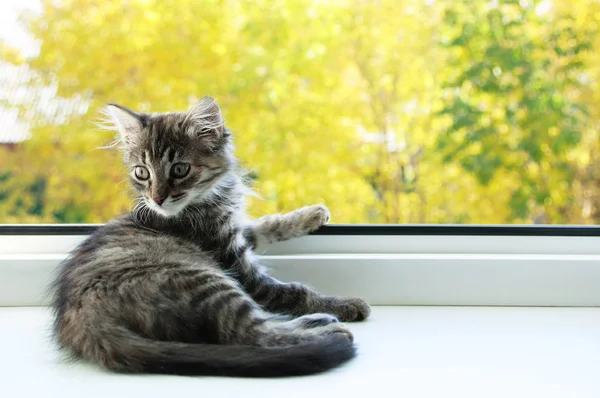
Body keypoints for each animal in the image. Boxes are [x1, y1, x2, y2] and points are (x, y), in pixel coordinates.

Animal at [51, 96, 370, 376]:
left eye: (180, 169)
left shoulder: (235, 228)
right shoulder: (236, 265)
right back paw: (326, 327)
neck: (208, 198)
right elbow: (292, 291)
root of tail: (81, 322)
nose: (157, 199)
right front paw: (343, 304)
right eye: (142, 173)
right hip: (206, 282)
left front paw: (311, 214)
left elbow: (265, 225)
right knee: (252, 334)